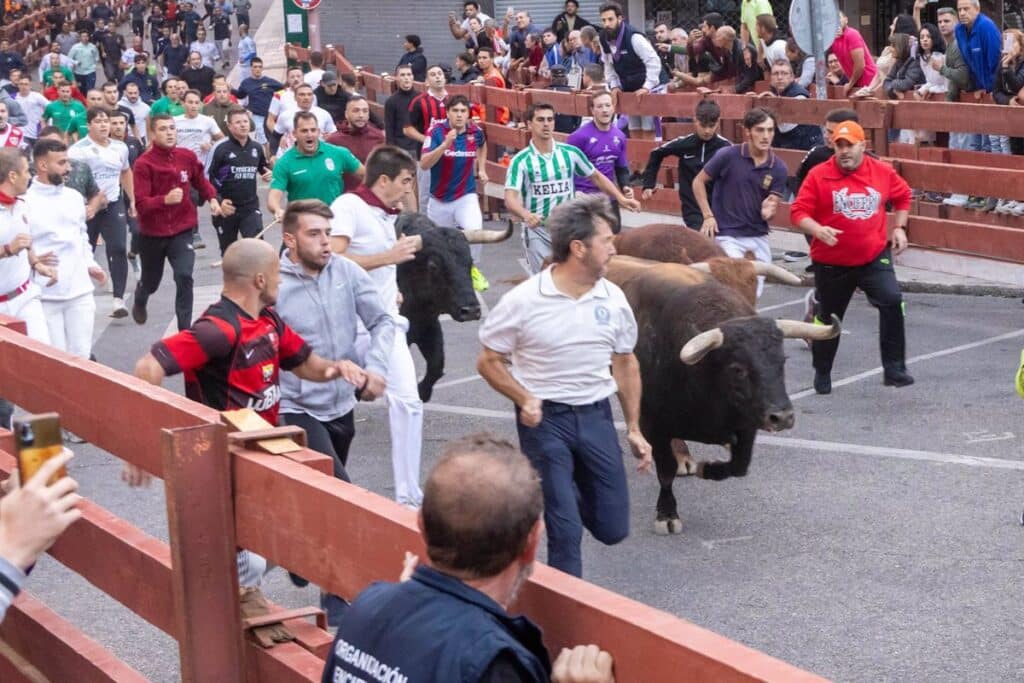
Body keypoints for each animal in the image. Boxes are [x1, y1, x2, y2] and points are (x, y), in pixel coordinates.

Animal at [397, 216, 512, 403]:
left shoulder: (429, 326)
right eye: (433, 266)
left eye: (470, 263)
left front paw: (422, 392)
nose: (471, 310)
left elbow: (436, 365)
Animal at [602, 259, 835, 536]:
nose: (783, 417)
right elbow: (666, 472)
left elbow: (739, 466)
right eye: (737, 369)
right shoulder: (655, 423)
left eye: (783, 361)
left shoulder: (747, 424)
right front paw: (667, 514)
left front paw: (707, 468)